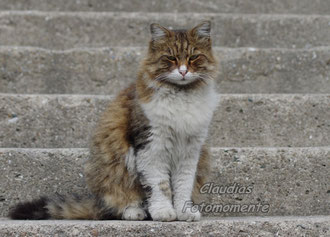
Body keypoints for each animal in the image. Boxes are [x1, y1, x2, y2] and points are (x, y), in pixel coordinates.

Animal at [9, 20, 219, 222]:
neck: (182, 95)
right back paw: (136, 212)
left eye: (193, 58)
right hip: (115, 167)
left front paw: (184, 212)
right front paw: (163, 212)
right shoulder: (151, 147)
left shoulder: (190, 151)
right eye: (171, 58)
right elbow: (159, 186)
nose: (183, 72)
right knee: (121, 201)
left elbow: (183, 186)